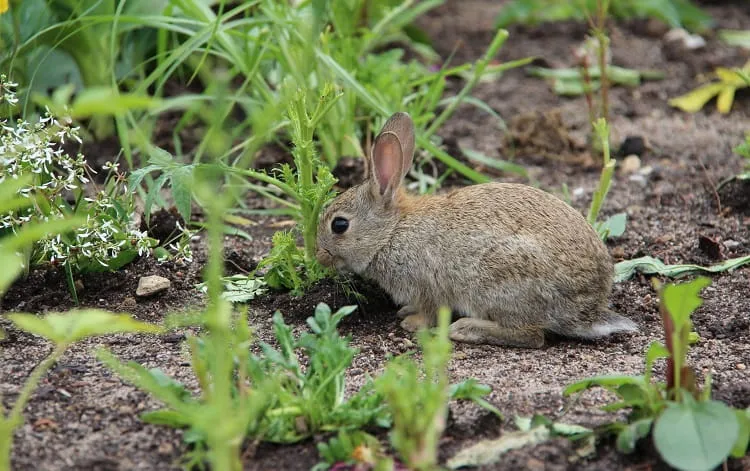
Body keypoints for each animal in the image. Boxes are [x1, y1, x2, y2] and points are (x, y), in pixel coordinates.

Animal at [314, 110, 636, 346]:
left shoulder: (426, 284)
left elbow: (430, 311)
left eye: (339, 225)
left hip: (498, 281)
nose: (319, 256)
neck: (392, 232)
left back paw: (466, 329)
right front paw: (406, 312)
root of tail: (587, 311)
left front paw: (411, 323)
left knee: (532, 336)